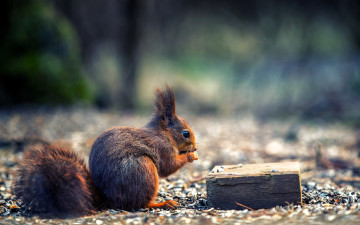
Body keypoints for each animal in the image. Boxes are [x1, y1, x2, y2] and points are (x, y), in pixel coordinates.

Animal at [12, 86, 198, 218]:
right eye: (185, 133)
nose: (195, 148)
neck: (164, 134)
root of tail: (110, 199)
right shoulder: (161, 147)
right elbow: (168, 166)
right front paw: (190, 156)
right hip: (143, 169)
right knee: (139, 205)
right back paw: (161, 204)